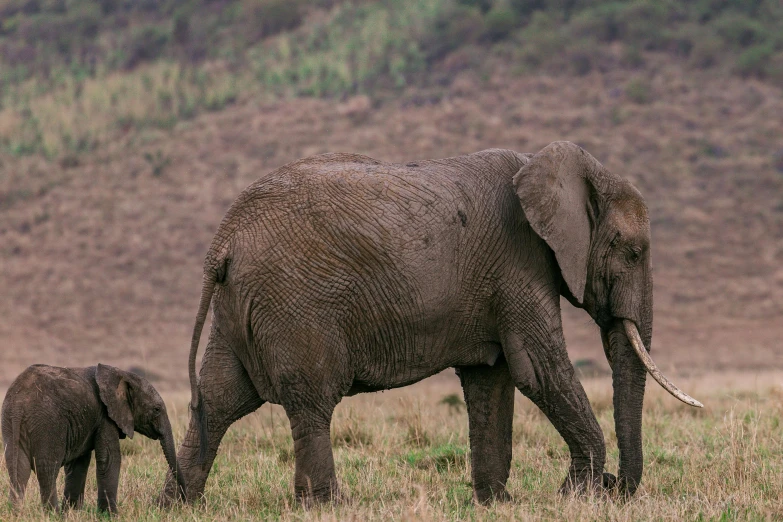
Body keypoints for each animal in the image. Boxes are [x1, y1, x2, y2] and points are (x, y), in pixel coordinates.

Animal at [0, 364, 185, 510]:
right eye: (157, 409)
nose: (185, 498)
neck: (120, 374)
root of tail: (19, 405)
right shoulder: (106, 416)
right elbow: (110, 459)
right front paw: (110, 516)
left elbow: (79, 464)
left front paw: (72, 513)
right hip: (47, 423)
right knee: (47, 469)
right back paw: (52, 514)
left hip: (10, 423)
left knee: (18, 469)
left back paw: (18, 513)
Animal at [162, 139, 700, 504]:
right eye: (633, 253)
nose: (615, 487)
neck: (549, 165)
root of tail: (224, 239)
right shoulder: (519, 261)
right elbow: (538, 370)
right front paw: (575, 495)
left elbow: (491, 380)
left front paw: (495, 503)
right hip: (293, 304)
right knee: (310, 400)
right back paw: (329, 505)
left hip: (240, 305)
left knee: (219, 397)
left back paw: (178, 504)